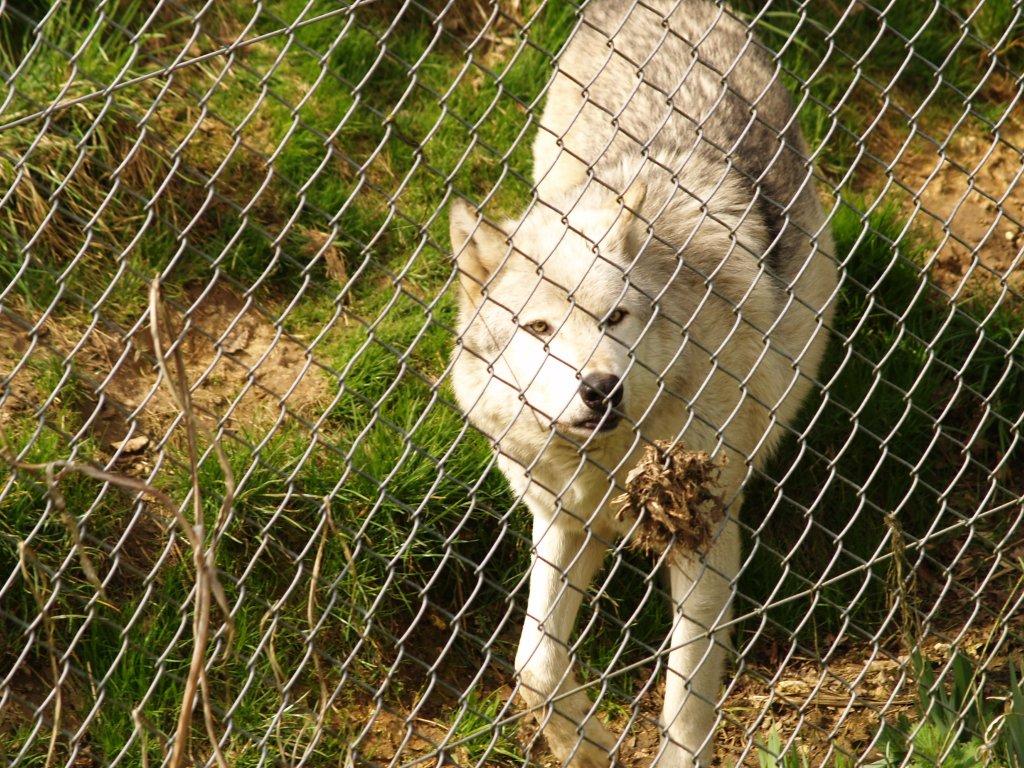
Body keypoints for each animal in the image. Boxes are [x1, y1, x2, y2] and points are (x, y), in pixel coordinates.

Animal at [448, 1, 837, 765]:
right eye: (539, 327)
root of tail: (650, 7)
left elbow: (685, 693)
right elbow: (534, 666)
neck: (606, 461)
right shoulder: (562, 522)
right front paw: (583, 745)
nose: (601, 387)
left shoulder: (704, 534)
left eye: (616, 316)